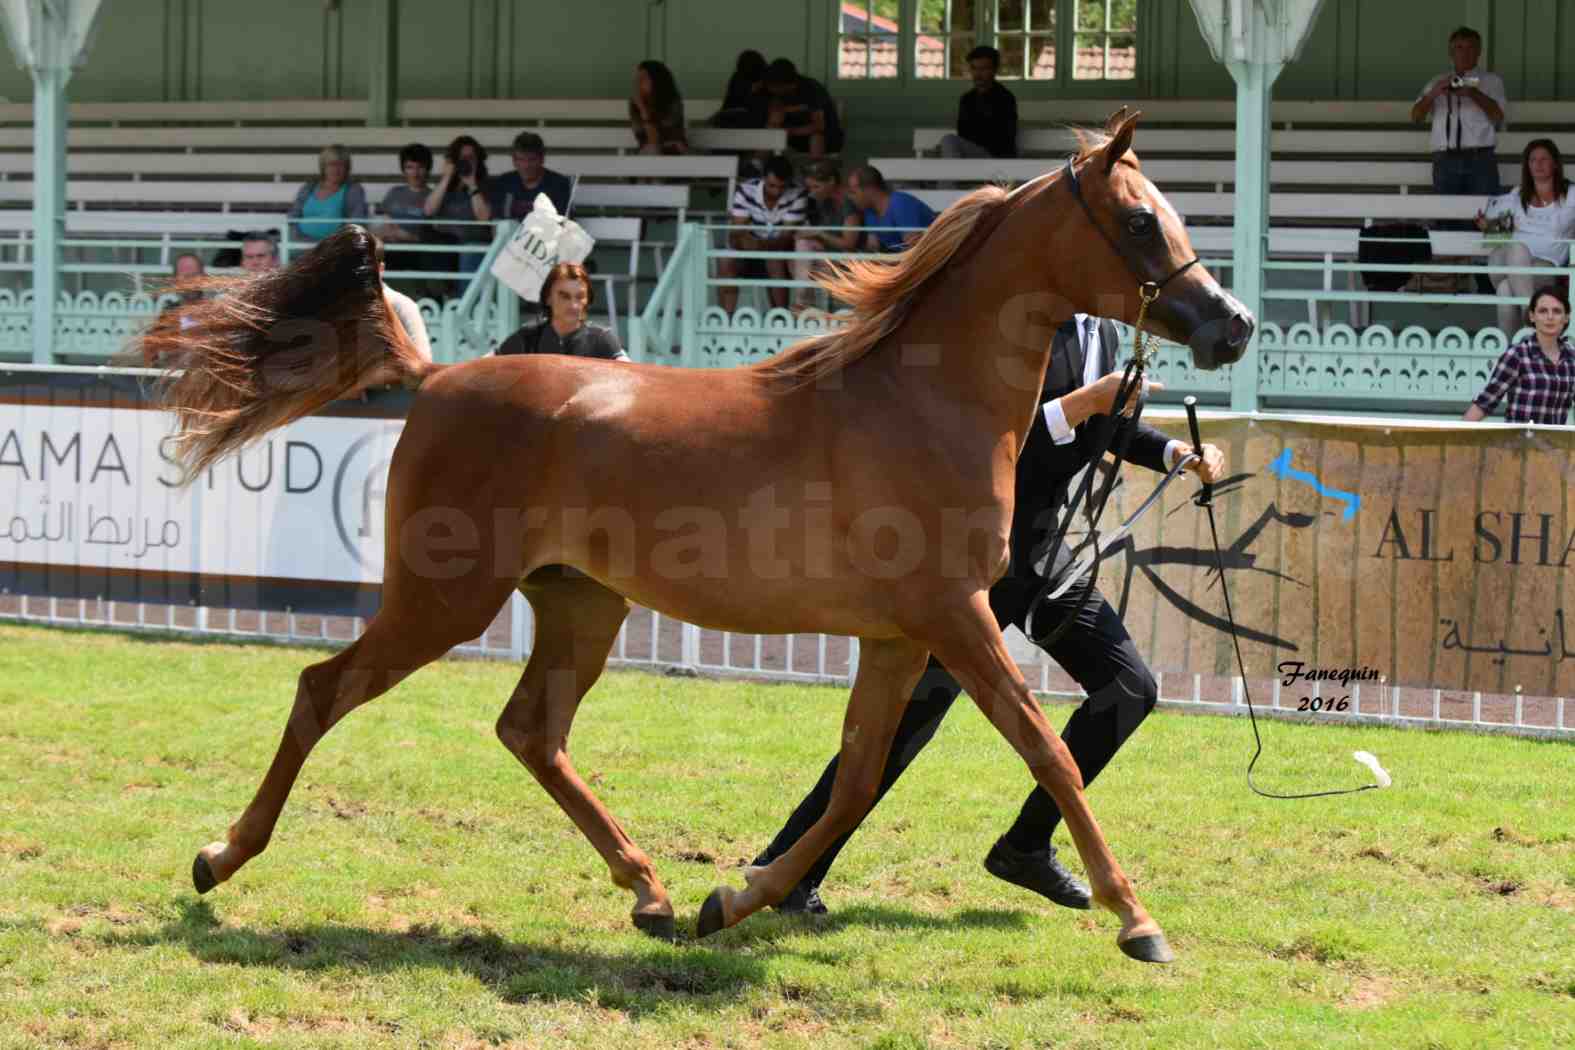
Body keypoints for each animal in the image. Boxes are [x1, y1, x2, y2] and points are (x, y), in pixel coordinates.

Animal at [144, 113, 1253, 963]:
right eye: (1139, 219)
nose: (1232, 325)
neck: (918, 402)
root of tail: (441, 376)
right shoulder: (955, 618)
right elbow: (1043, 750)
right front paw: (1138, 920)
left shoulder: (900, 636)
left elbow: (858, 779)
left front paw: (732, 899)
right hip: (443, 598)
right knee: (323, 691)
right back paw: (218, 858)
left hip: (581, 604)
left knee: (531, 731)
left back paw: (651, 892)